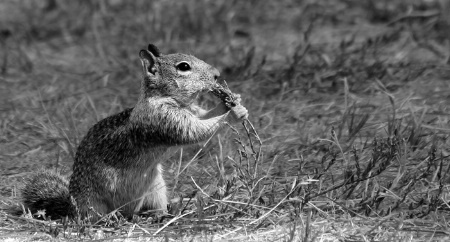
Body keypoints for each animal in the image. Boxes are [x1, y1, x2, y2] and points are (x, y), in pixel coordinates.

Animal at [21, 43, 248, 221]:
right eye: (184, 66)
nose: (217, 74)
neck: (168, 99)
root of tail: (72, 206)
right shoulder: (164, 120)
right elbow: (196, 131)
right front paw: (229, 108)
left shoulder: (194, 111)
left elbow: (204, 116)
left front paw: (237, 105)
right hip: (93, 202)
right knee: (94, 216)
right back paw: (108, 219)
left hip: (156, 188)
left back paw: (162, 213)